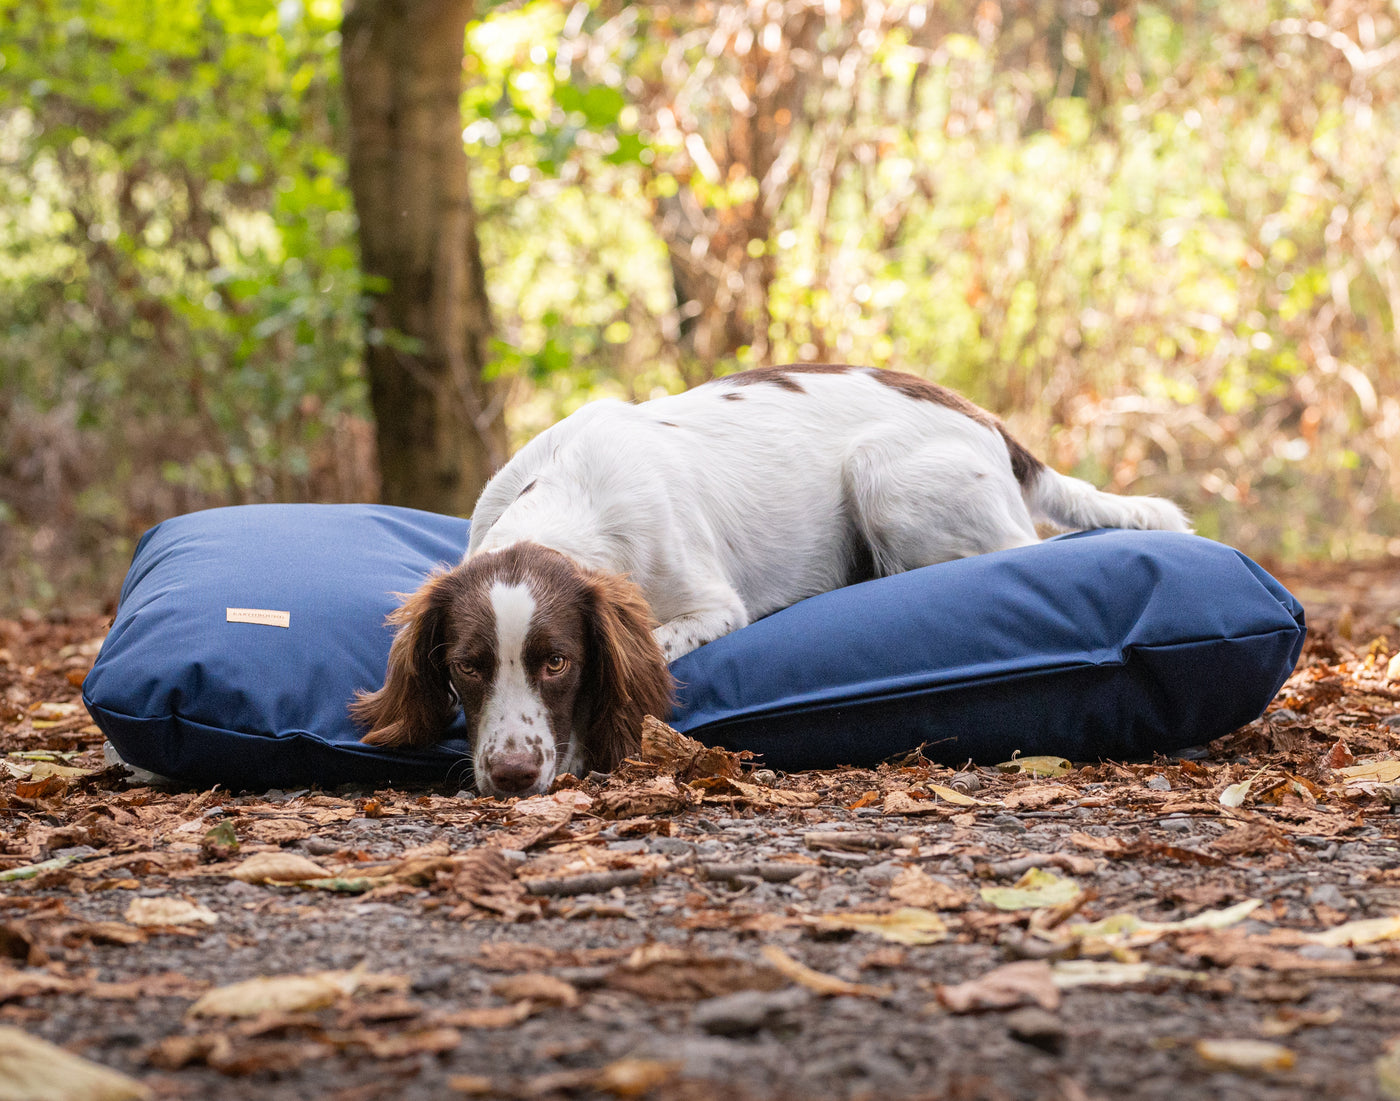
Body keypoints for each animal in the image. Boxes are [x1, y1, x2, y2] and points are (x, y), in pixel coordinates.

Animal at [355, 364, 1187, 795]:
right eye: (468, 666)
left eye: (558, 662)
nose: (512, 773)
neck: (569, 499)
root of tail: (985, 419)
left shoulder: (711, 604)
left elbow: (654, 646)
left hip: (886, 480)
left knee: (1018, 547)